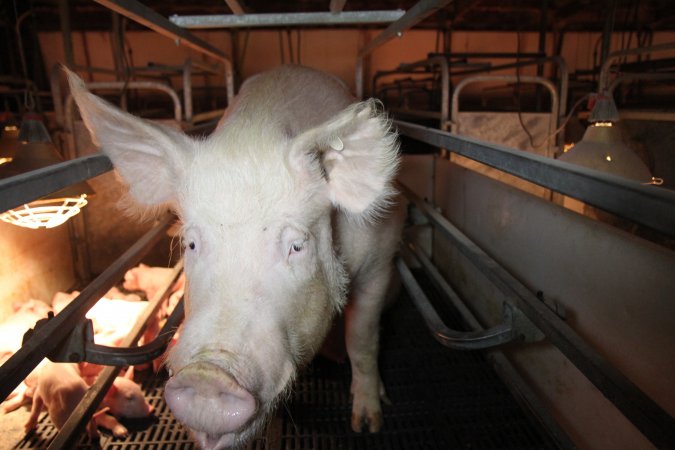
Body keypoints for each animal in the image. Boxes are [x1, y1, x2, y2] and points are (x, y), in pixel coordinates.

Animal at [67, 64, 406, 450]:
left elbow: (362, 339)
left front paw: (368, 424)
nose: (207, 376)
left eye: (296, 246)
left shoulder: (380, 260)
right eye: (191, 244)